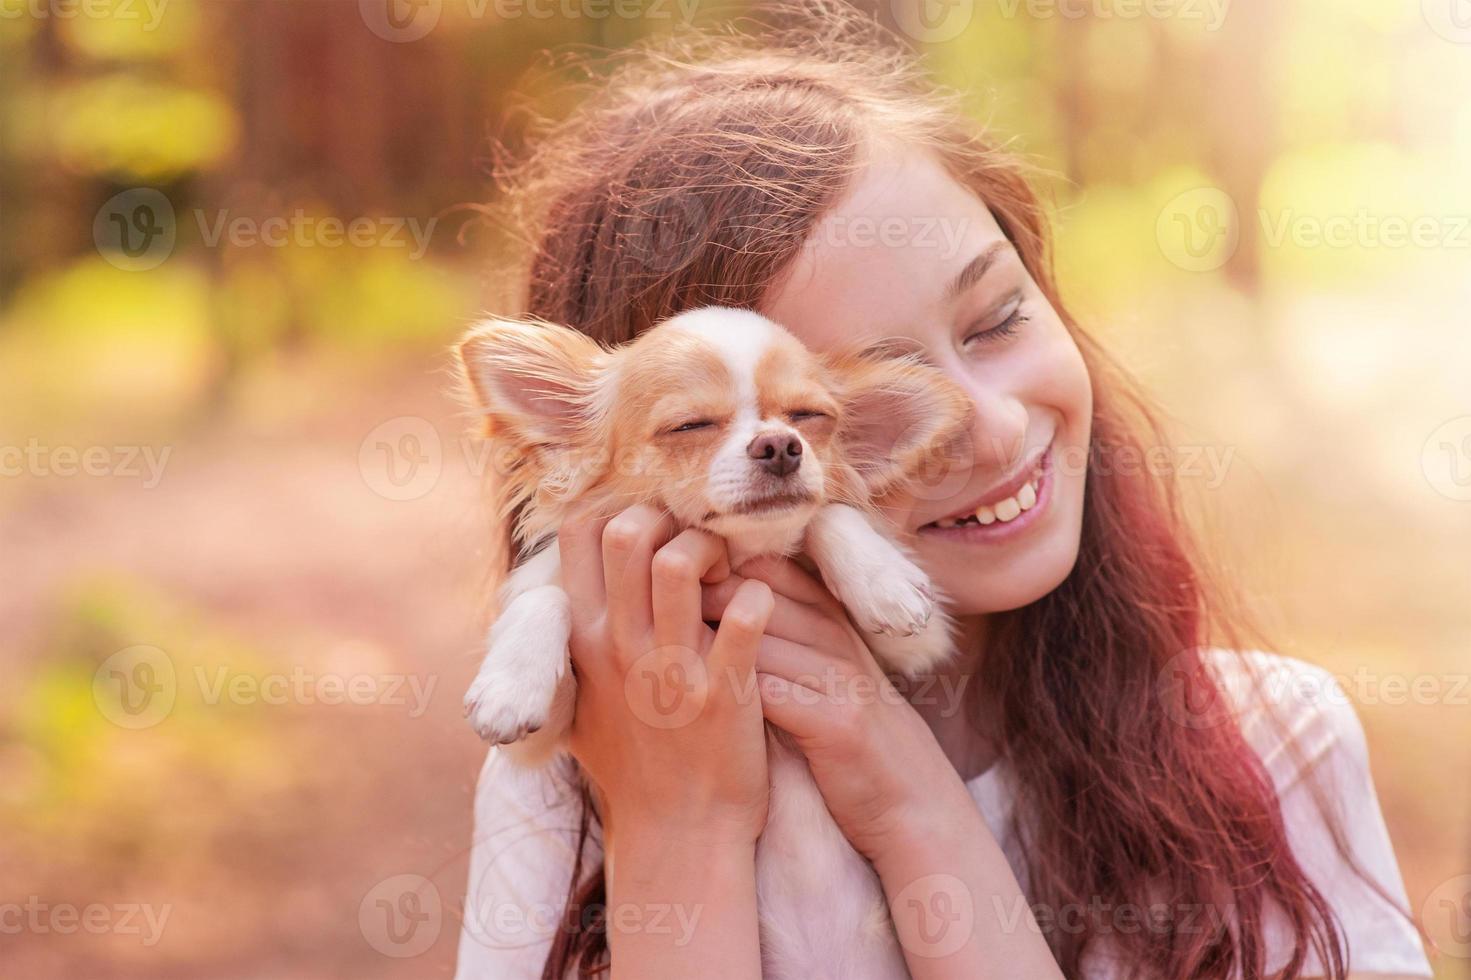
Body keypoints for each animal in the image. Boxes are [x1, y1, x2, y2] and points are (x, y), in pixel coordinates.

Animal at [453, 307, 970, 977]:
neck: (736, 559)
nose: (780, 445)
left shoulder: (915, 652)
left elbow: (829, 517)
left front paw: (883, 581)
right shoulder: (552, 738)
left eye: (809, 417)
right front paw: (511, 686)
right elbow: (546, 599)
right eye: (689, 425)